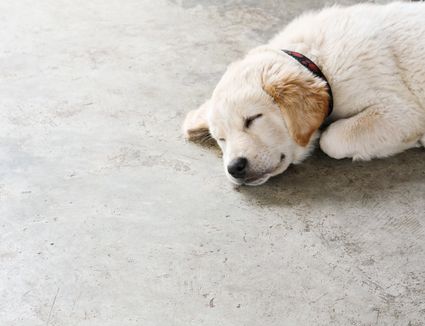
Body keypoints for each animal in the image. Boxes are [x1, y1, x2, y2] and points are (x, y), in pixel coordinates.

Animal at [182, 1, 424, 186]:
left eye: (252, 119)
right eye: (221, 139)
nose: (234, 168)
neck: (318, 63)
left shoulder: (401, 111)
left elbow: (331, 140)